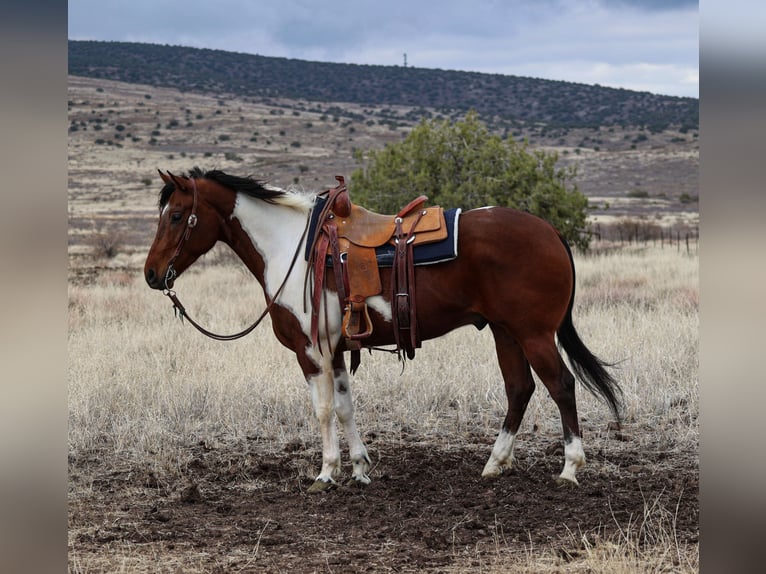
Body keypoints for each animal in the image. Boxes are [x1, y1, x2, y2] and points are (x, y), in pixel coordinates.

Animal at [146, 168, 624, 496]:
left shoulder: (310, 351)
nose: (151, 274)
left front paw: (326, 473)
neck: (292, 249)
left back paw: (570, 468)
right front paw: (359, 468)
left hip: (534, 334)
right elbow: (345, 408)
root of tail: (549, 230)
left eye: (176, 216)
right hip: (506, 333)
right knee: (519, 388)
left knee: (560, 386)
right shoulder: (336, 350)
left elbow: (323, 410)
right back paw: (494, 463)